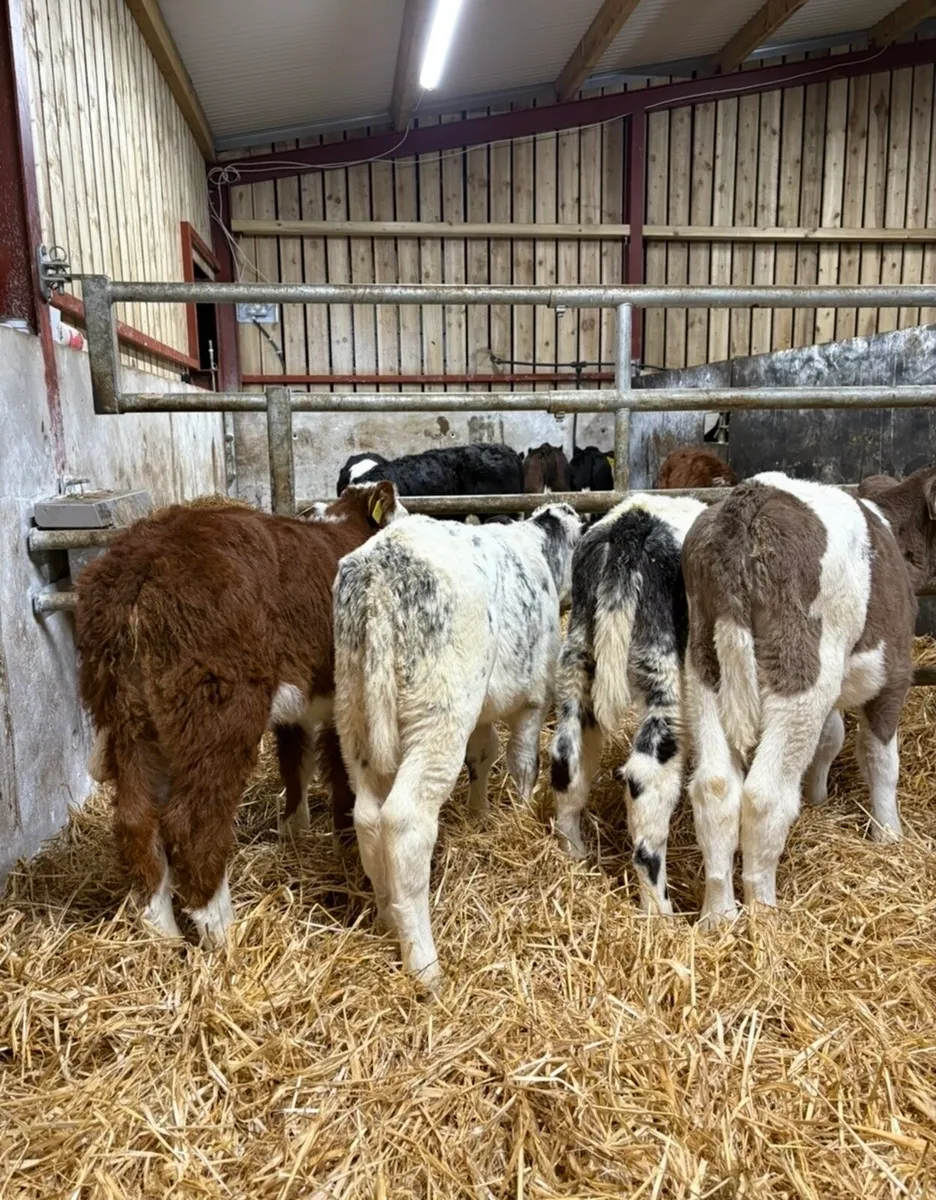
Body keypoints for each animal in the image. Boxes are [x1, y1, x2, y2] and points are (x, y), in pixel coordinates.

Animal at [76, 482, 405, 948]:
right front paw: (342, 841)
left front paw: (294, 831)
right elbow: (337, 771)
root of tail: (140, 558)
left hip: (130, 718)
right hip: (219, 710)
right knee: (193, 825)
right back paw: (222, 934)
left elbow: (294, 761)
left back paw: (162, 935)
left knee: (136, 819)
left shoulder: (300, 706)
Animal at [332, 503, 582, 991]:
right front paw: (520, 815)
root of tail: (380, 570)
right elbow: (522, 761)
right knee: (405, 822)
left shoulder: (482, 708)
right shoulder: (533, 698)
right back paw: (425, 966)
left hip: (354, 717)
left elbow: (483, 756)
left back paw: (388, 920)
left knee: (368, 817)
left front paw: (480, 816)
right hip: (439, 716)